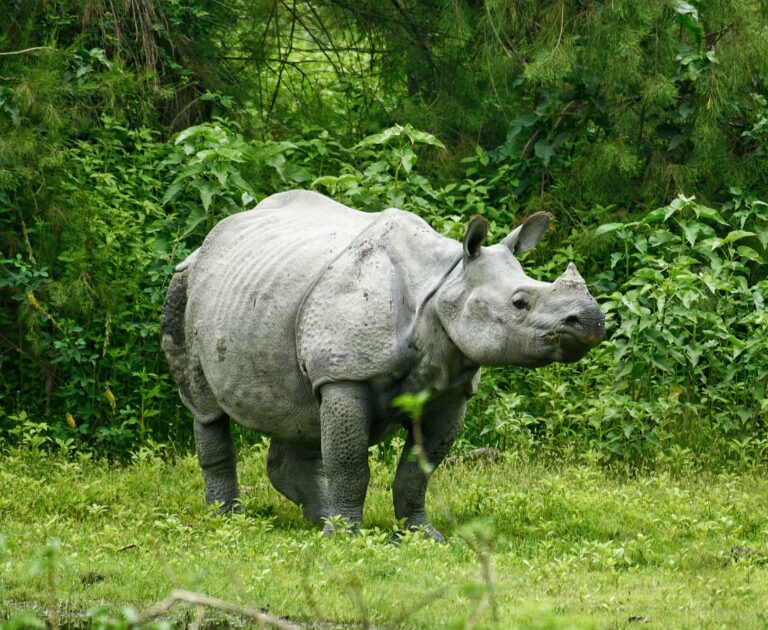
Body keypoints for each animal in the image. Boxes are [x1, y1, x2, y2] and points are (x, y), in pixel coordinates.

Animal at [161, 190, 604, 541]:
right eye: (519, 302)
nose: (591, 320)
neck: (444, 284)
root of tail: (207, 243)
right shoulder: (344, 374)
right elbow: (350, 463)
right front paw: (346, 538)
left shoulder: (450, 389)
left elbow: (418, 471)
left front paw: (422, 536)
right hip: (187, 284)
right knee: (206, 408)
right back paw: (229, 519)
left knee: (299, 410)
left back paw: (318, 519)